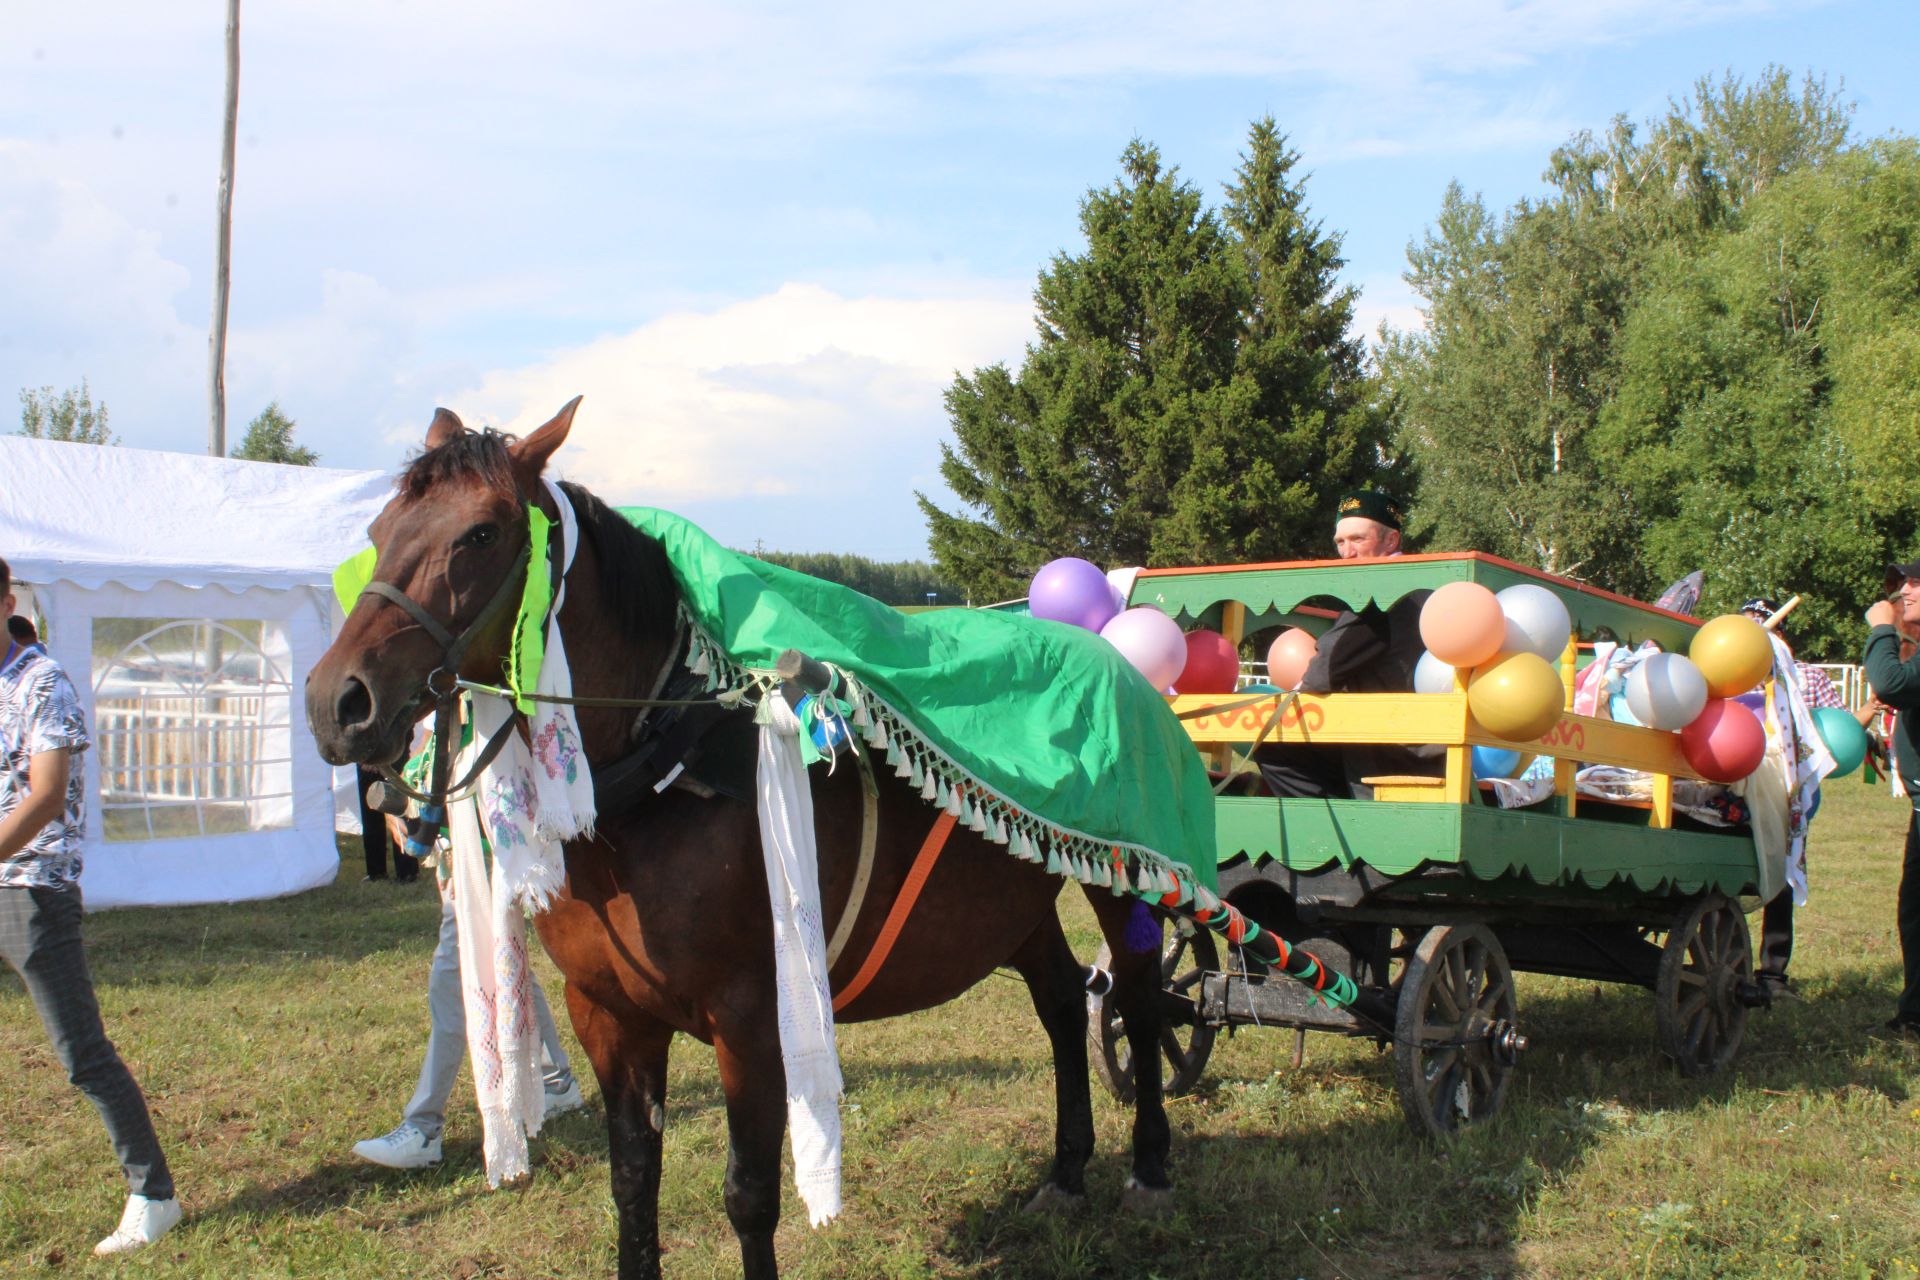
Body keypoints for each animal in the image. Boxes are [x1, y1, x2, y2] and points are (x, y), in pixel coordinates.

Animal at [307, 404, 1175, 1280]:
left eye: (480, 533)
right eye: (379, 530)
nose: (335, 702)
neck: (657, 781)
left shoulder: (754, 1019)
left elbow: (748, 1195)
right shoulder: (607, 1014)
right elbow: (632, 1180)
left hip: (1121, 881)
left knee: (1136, 997)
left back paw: (1149, 1164)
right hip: (1018, 895)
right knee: (1062, 1001)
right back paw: (1067, 1170)